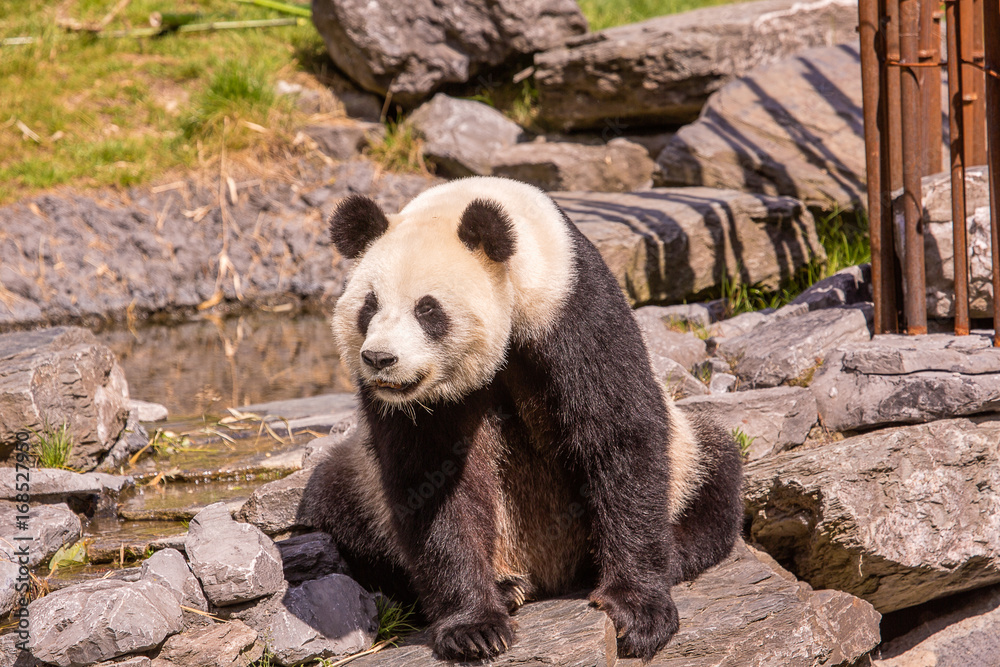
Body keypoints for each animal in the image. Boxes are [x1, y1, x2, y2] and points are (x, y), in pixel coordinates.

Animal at [301, 176, 743, 661]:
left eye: (427, 309)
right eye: (369, 306)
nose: (380, 359)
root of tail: (546, 570)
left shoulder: (572, 308)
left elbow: (618, 433)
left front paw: (637, 611)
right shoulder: (410, 407)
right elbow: (430, 480)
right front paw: (474, 628)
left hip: (688, 456)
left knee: (716, 469)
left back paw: (670, 553)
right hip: (361, 486)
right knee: (337, 508)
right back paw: (506, 586)